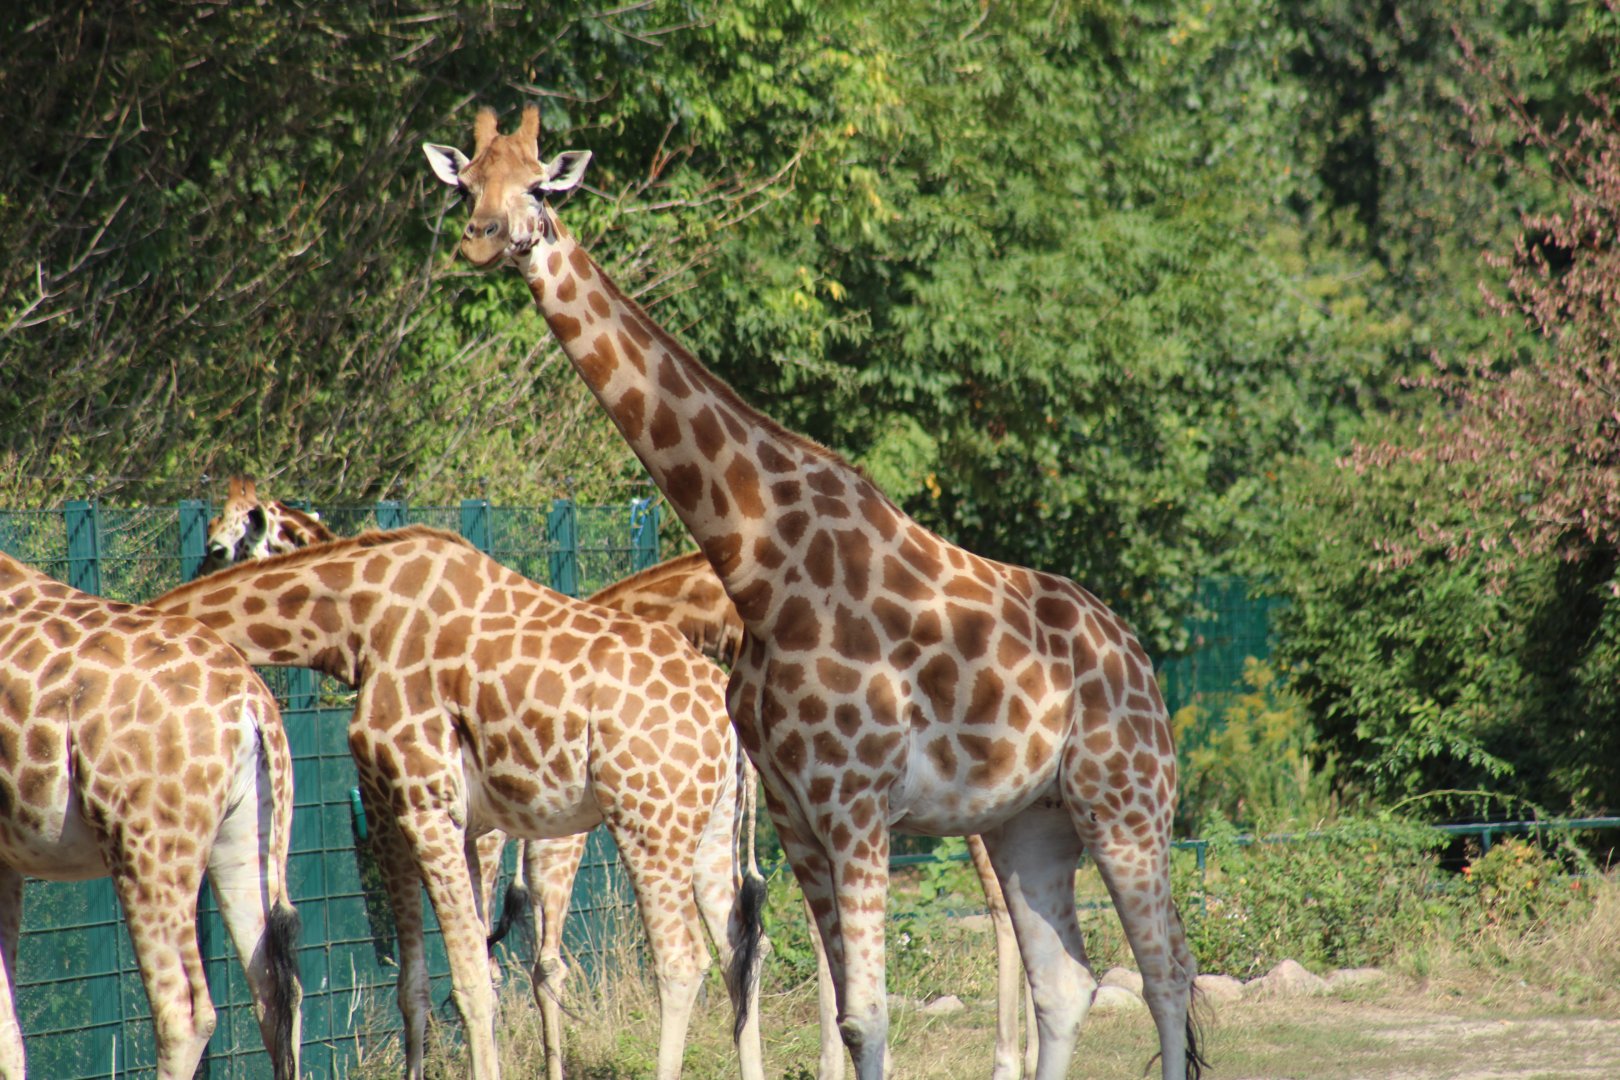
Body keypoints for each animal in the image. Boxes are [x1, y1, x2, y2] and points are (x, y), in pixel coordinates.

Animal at [0, 552, 302, 1080]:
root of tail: (252, 705)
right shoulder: (7, 861)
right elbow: (9, 1030)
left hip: (147, 848)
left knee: (184, 1012)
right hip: (250, 838)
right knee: (274, 993)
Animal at [193, 480, 768, 1080]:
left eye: (218, 547)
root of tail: (724, 713)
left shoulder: (428, 816)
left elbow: (468, 976)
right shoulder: (471, 830)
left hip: (629, 829)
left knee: (678, 958)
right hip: (696, 827)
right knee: (738, 948)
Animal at [424, 106, 1205, 1080]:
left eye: (538, 184)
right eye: (465, 183)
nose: (483, 238)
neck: (756, 558)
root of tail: (1138, 656)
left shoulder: (856, 802)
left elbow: (867, 1016)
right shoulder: (798, 811)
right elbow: (842, 1006)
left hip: (1127, 800)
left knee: (1168, 973)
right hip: (1031, 820)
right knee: (1068, 982)